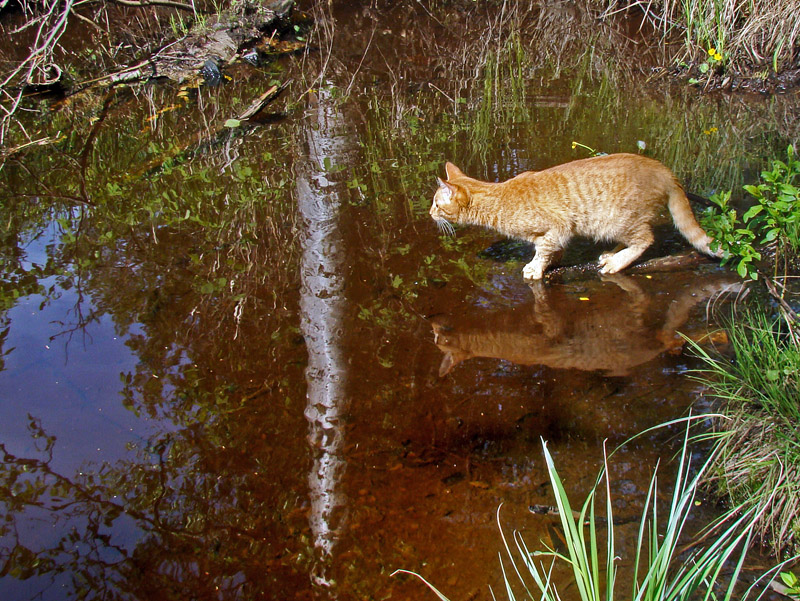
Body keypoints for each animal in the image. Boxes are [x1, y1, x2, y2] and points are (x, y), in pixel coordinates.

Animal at [432, 152, 724, 278]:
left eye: (436, 204)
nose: (429, 213)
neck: (499, 197)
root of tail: (664, 170)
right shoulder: (559, 233)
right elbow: (554, 249)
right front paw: (551, 261)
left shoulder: (557, 226)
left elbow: (543, 249)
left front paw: (536, 267)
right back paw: (611, 254)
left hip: (618, 220)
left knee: (645, 240)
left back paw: (617, 261)